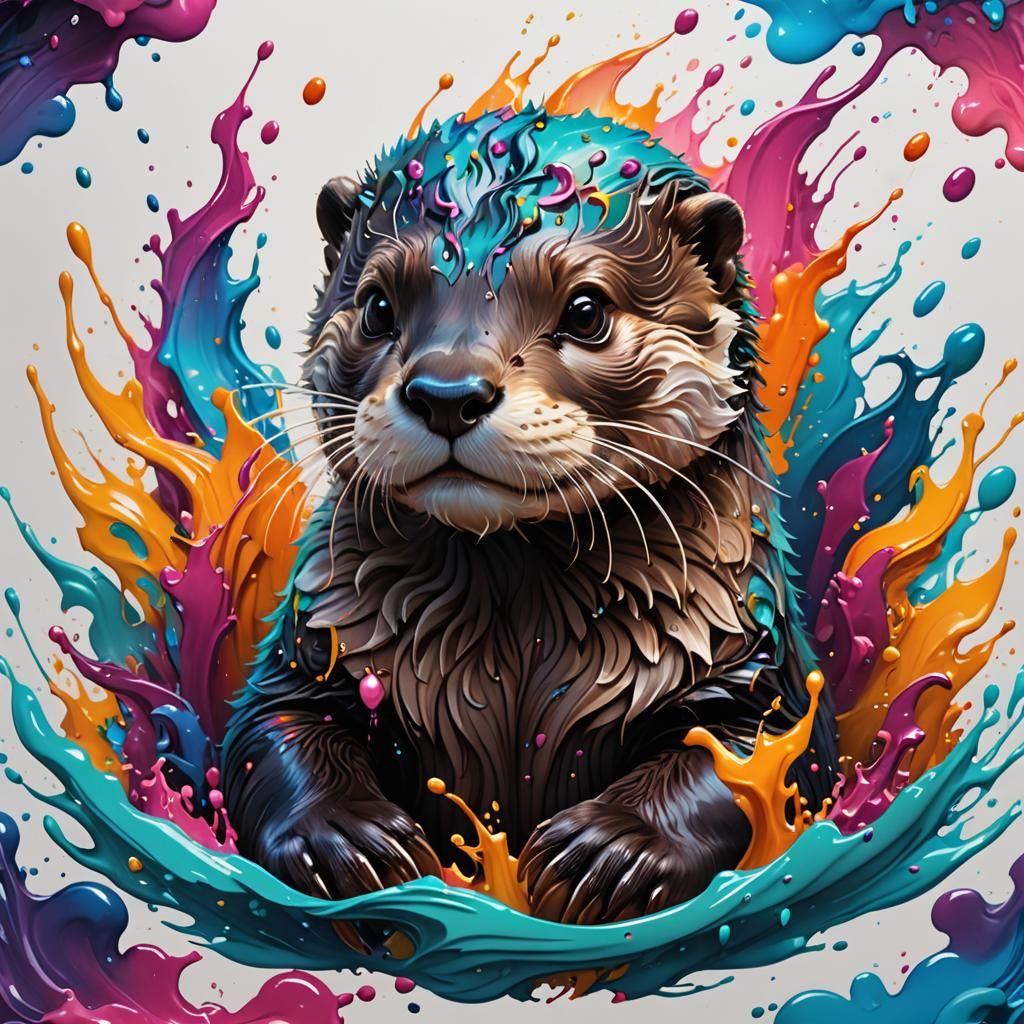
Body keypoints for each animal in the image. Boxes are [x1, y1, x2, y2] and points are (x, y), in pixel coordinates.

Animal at [222, 105, 838, 930]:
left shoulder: (751, 655)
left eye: (586, 310)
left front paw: (611, 849)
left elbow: (754, 758)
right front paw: (347, 838)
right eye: (379, 306)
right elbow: (270, 734)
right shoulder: (314, 643)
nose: (448, 392)